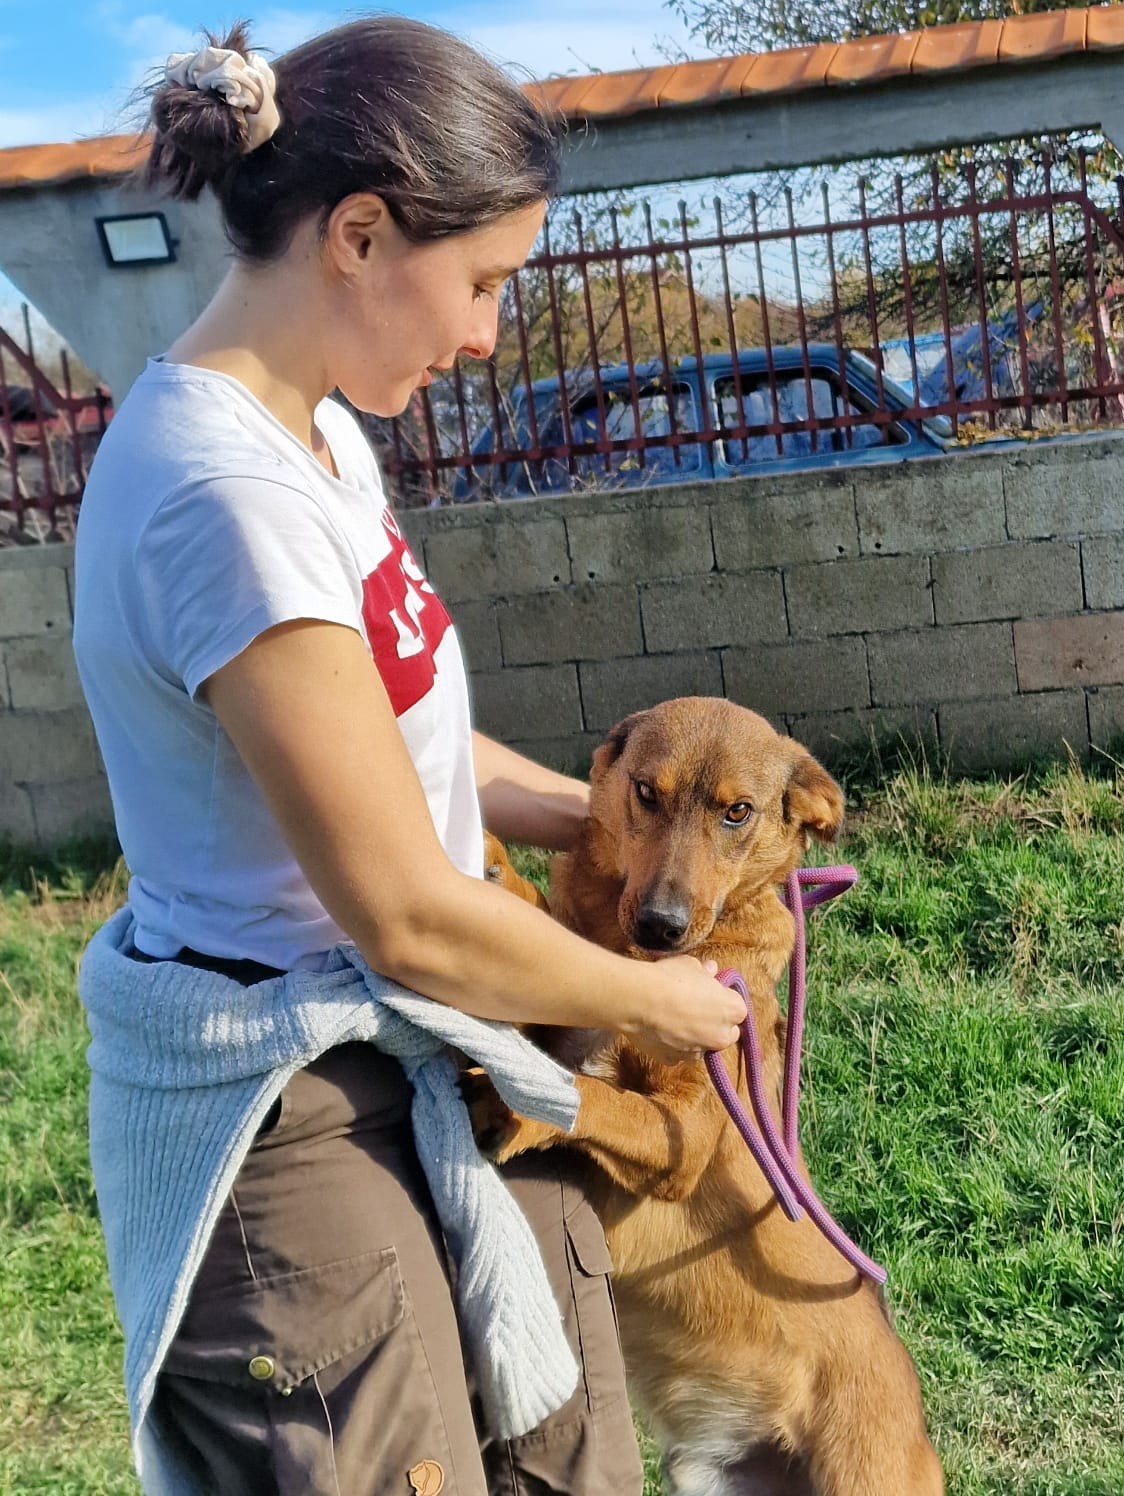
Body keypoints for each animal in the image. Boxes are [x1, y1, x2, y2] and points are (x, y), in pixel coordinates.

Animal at [472, 697, 943, 1496]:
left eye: (737, 812)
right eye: (645, 792)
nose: (660, 925)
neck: (629, 961)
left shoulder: (685, 1137)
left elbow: (599, 1098)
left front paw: (523, 1104)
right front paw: (490, 862)